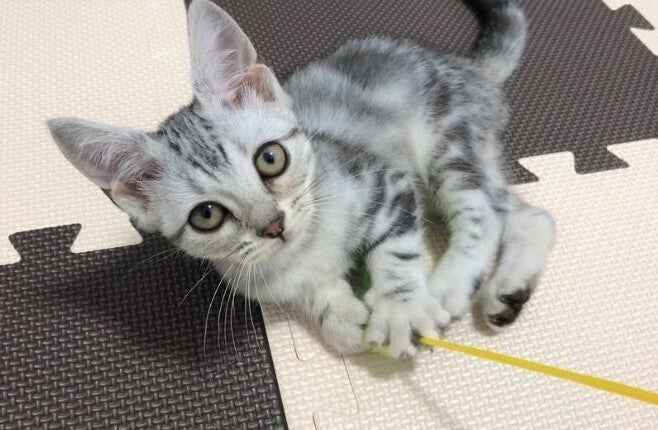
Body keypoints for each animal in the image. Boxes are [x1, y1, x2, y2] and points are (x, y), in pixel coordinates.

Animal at [48, 0, 555, 359]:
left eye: (270, 159)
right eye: (206, 216)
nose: (274, 225)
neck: (308, 248)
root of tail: (465, 67)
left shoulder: (384, 179)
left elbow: (394, 252)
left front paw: (400, 308)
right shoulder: (264, 281)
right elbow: (311, 296)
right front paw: (342, 319)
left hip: (446, 146)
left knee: (482, 210)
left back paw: (451, 283)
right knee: (532, 213)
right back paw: (507, 289)